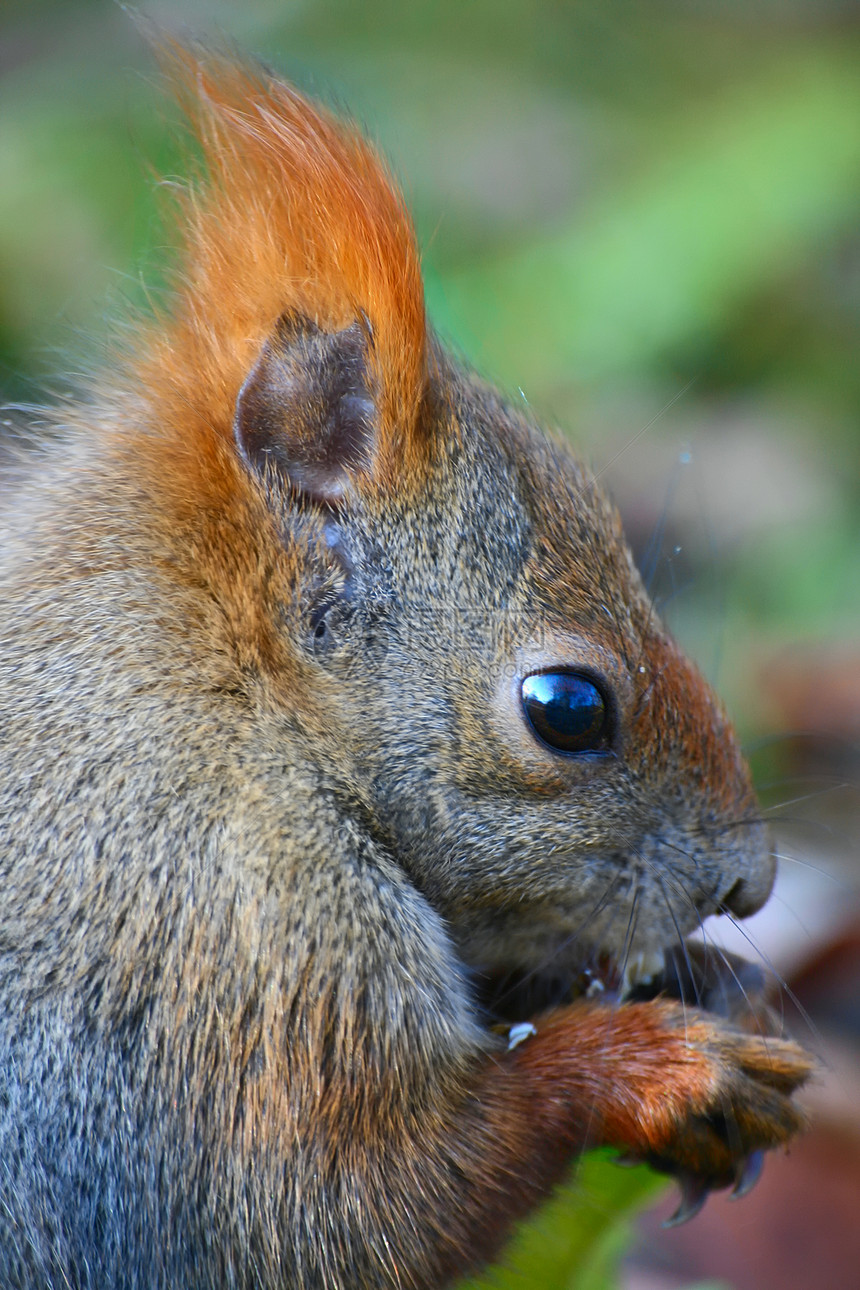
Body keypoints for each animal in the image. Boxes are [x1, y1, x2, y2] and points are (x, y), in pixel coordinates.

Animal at [0, 40, 814, 1290]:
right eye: (566, 708)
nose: (747, 886)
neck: (247, 701)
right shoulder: (238, 932)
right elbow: (343, 1207)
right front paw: (655, 1069)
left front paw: (707, 981)